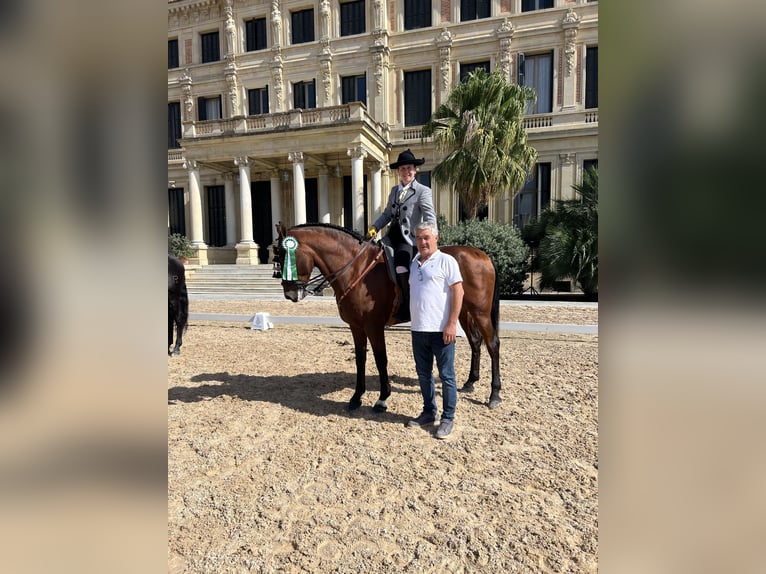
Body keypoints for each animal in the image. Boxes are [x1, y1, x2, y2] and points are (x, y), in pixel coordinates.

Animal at [272, 223, 504, 412]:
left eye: (286, 256)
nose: (289, 294)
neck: (356, 269)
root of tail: (481, 254)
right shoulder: (356, 326)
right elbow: (361, 359)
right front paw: (356, 397)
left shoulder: (374, 327)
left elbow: (380, 359)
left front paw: (382, 398)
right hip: (463, 312)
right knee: (476, 342)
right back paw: (471, 382)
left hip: (480, 313)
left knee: (492, 345)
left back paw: (494, 394)